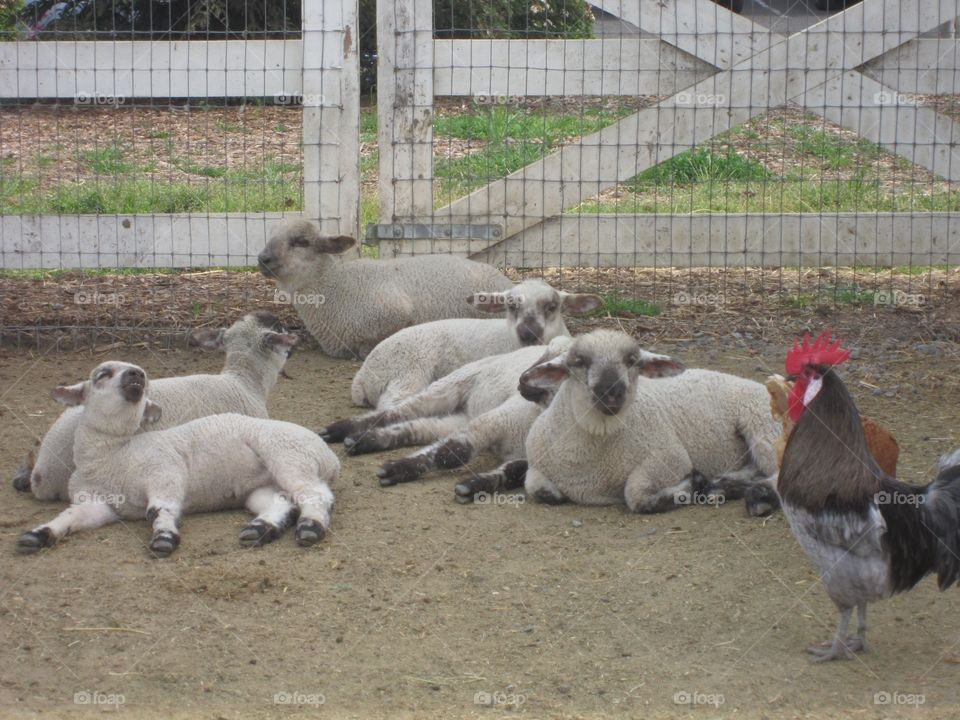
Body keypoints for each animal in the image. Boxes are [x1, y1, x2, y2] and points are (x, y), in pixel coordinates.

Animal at [16, 361, 337, 557]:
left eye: (143, 378)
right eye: (102, 374)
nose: (136, 375)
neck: (113, 456)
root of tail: (331, 457)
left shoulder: (164, 473)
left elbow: (157, 510)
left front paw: (164, 538)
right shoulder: (99, 504)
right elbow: (69, 517)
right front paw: (37, 535)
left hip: (288, 454)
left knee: (315, 494)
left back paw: (310, 528)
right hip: (260, 485)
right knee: (281, 501)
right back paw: (259, 530)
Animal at [320, 337, 574, 466]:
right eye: (544, 357)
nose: (522, 379)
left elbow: (450, 451)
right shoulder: (494, 420)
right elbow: (452, 452)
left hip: (460, 417)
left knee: (418, 427)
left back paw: (361, 441)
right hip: (454, 382)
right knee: (399, 411)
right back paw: (336, 430)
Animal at [519, 330, 780, 512]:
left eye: (631, 361)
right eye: (580, 361)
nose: (612, 391)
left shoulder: (671, 457)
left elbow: (636, 495)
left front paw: (691, 484)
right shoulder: (536, 467)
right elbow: (538, 490)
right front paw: (701, 484)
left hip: (764, 427)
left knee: (777, 474)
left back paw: (759, 496)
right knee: (756, 470)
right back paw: (724, 486)